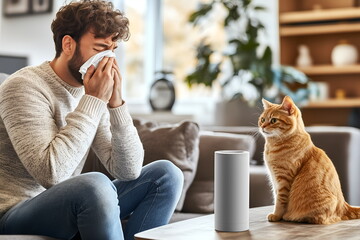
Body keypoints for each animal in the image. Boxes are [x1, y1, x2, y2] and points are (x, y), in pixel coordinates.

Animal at [260, 96, 360, 224]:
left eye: (273, 120)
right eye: (262, 119)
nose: (262, 126)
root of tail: (345, 205)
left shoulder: (283, 180)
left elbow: (279, 200)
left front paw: (276, 215)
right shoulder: (274, 180)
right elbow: (275, 195)